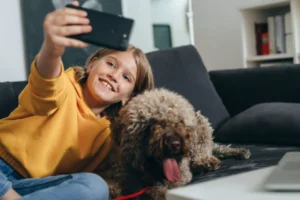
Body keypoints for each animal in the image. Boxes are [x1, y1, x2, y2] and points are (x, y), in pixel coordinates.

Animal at [95, 88, 248, 199]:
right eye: (151, 124)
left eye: (180, 121)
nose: (175, 144)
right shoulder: (121, 172)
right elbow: (114, 185)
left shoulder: (181, 175)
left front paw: (157, 191)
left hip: (202, 125)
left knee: (203, 152)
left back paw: (205, 161)